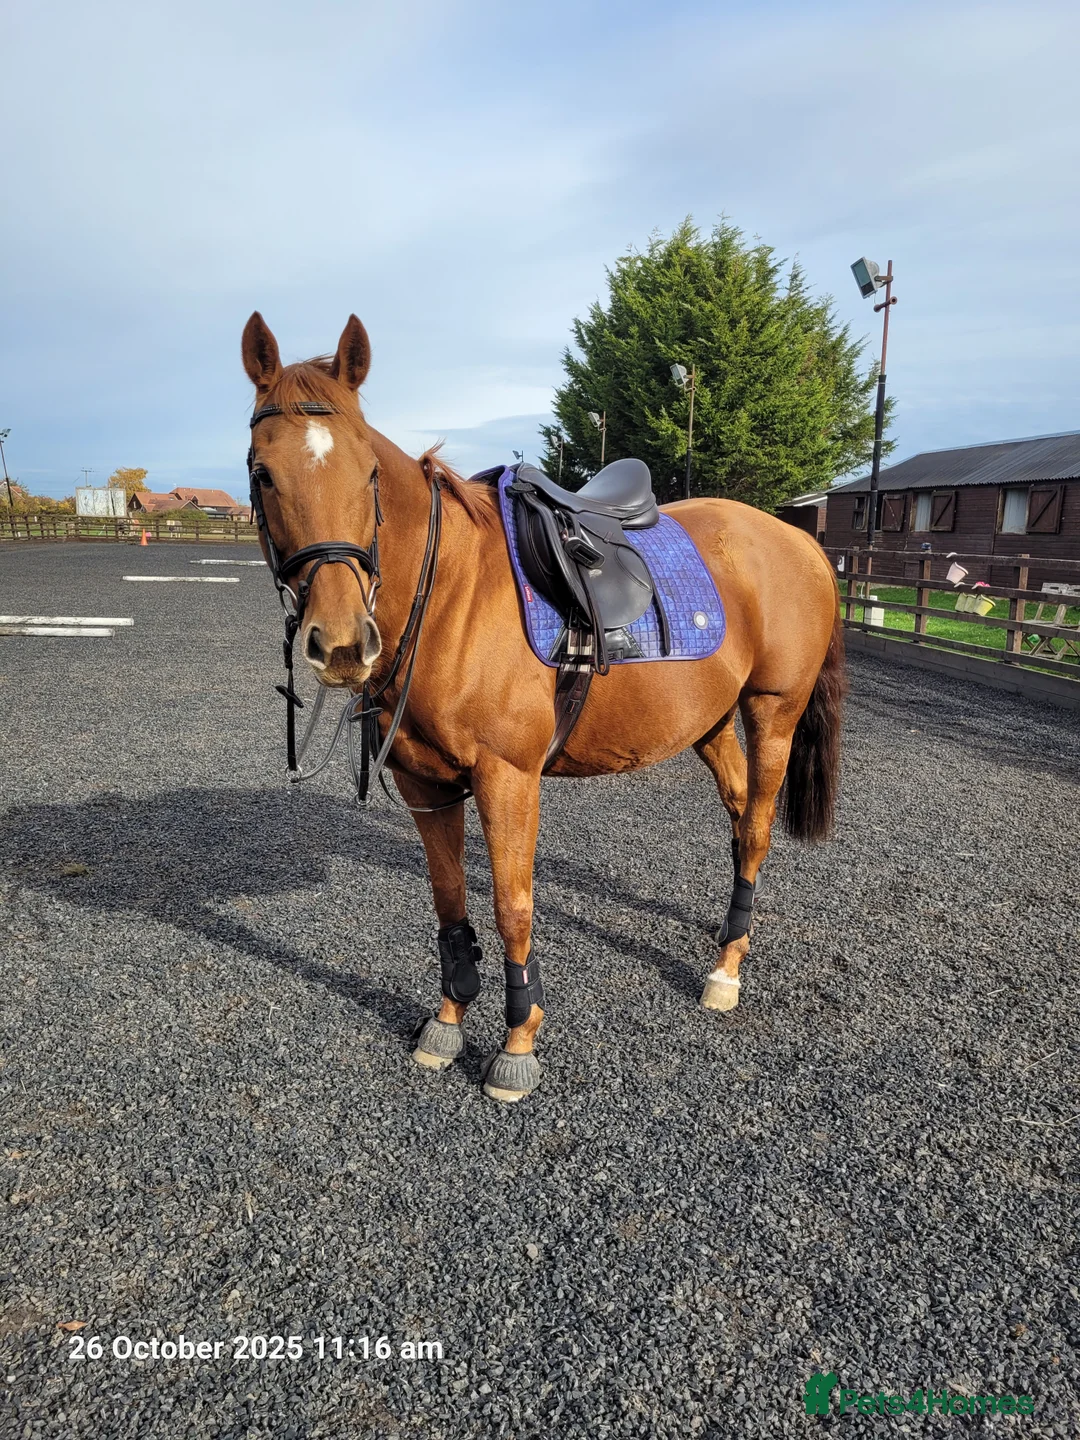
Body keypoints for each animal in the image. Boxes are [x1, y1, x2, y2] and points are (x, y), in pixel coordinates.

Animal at [241, 312, 845, 1103]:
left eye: (368, 472)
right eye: (262, 474)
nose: (342, 642)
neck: (451, 598)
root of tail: (798, 538)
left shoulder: (509, 777)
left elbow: (513, 907)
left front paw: (517, 1041)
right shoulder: (424, 781)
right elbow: (449, 898)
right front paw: (448, 1020)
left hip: (774, 709)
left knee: (760, 829)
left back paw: (725, 970)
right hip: (711, 720)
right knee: (743, 815)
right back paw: (726, 935)